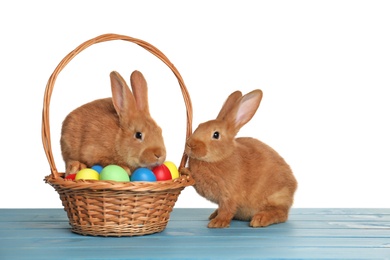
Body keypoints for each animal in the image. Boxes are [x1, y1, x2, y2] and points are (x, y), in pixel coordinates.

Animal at [181, 89, 298, 228]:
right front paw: (184, 171)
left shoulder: (229, 195)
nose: (190, 144)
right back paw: (214, 214)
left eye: (216, 134)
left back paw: (260, 219)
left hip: (276, 197)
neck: (221, 157)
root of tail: (294, 188)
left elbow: (227, 209)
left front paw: (218, 223)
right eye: (199, 125)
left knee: (281, 213)